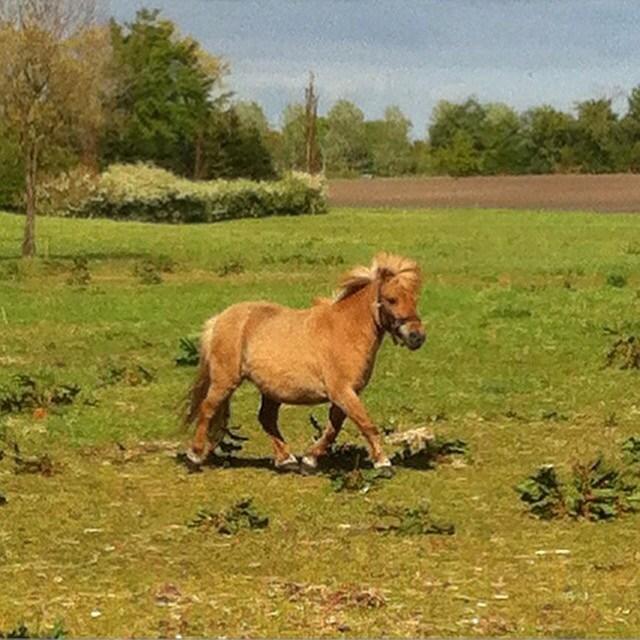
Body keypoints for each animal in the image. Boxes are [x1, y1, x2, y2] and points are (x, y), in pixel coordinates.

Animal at [184, 252, 424, 472]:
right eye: (391, 299)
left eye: (414, 298)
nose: (417, 337)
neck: (346, 331)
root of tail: (220, 318)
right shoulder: (342, 391)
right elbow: (366, 424)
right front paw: (383, 463)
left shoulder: (345, 394)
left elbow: (333, 428)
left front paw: (310, 460)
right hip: (225, 381)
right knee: (207, 409)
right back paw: (194, 456)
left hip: (272, 390)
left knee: (266, 418)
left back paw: (286, 460)